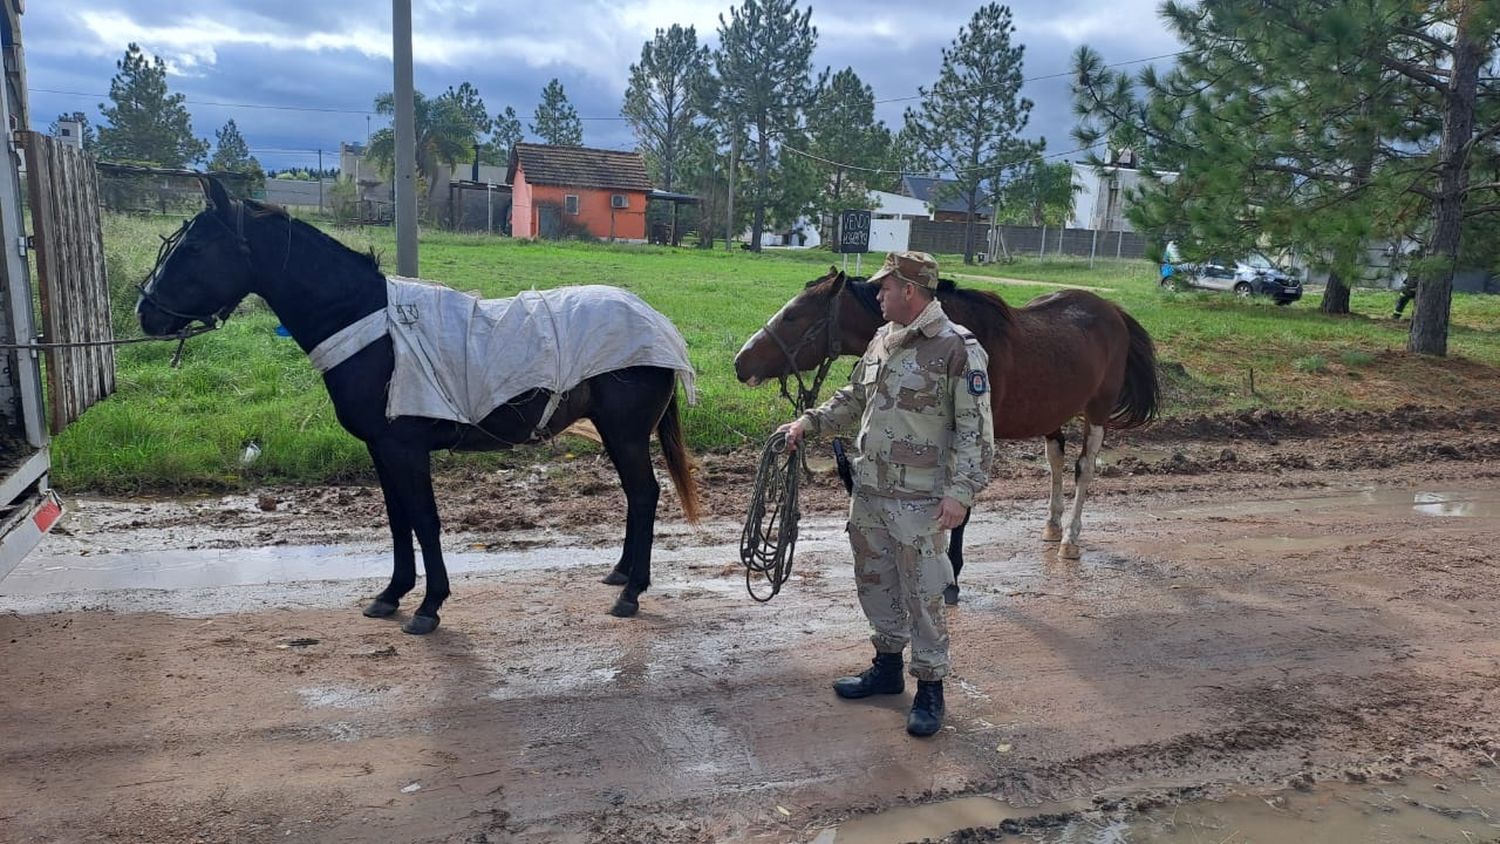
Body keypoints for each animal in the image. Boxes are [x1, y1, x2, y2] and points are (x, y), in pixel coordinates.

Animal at [138, 175, 699, 629]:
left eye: (193, 248)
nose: (146, 312)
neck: (373, 327)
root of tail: (656, 321)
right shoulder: (381, 450)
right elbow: (398, 518)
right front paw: (392, 594)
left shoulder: (405, 448)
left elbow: (425, 519)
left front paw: (429, 606)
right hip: (613, 432)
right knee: (634, 496)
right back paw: (620, 574)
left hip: (625, 433)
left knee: (644, 494)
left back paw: (632, 592)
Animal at [735, 271, 1158, 581]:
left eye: (793, 315)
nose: (740, 362)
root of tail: (1113, 311)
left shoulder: (969, 437)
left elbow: (958, 508)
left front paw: (951, 572)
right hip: (1053, 413)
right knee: (1056, 461)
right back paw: (1053, 525)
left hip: (1097, 413)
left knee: (1084, 469)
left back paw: (1070, 537)